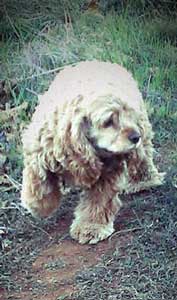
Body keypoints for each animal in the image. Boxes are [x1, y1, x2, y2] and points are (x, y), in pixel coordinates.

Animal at [21, 61, 165, 244]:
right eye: (108, 121)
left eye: (129, 116)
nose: (135, 136)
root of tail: (101, 62)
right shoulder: (39, 149)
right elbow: (37, 180)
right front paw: (40, 206)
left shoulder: (109, 170)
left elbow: (99, 199)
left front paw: (91, 227)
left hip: (143, 134)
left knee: (143, 158)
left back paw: (143, 181)